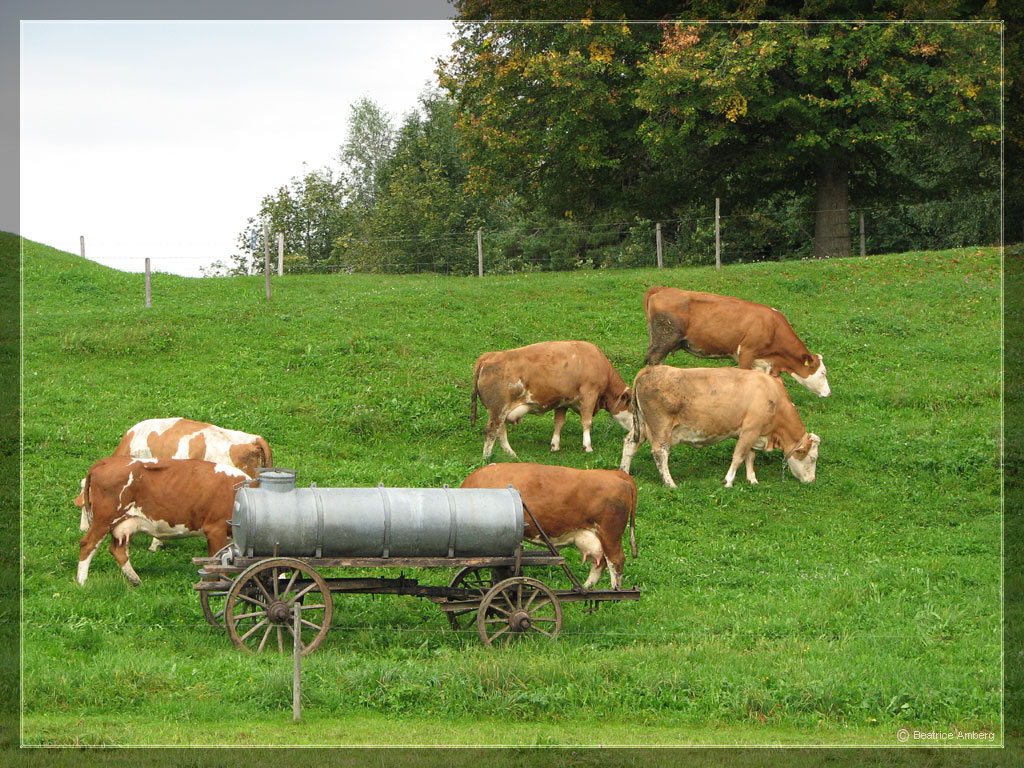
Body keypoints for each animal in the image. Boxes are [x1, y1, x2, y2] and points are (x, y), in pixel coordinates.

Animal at [75, 456, 254, 586]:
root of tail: (107, 461)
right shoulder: (216, 528)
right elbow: (219, 561)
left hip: (123, 524)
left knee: (118, 550)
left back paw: (136, 580)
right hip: (104, 520)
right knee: (88, 544)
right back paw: (82, 582)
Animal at [461, 462, 637, 590]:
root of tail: (615, 474)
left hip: (610, 533)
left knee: (616, 561)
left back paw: (614, 592)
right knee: (599, 563)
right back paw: (586, 588)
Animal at [470, 340, 633, 460]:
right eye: (634, 408)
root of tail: (490, 356)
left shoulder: (563, 401)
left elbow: (559, 422)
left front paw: (555, 445)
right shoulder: (589, 395)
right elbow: (586, 422)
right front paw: (588, 446)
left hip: (501, 411)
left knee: (500, 432)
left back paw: (511, 455)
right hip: (498, 408)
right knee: (491, 431)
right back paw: (487, 457)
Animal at [619, 365, 821, 489]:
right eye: (812, 458)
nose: (812, 480)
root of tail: (649, 369)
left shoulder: (750, 432)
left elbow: (750, 456)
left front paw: (752, 479)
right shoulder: (751, 430)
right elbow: (739, 456)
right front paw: (728, 481)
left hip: (643, 426)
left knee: (630, 443)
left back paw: (624, 472)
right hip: (660, 427)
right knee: (660, 453)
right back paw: (670, 483)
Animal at [642, 287, 831, 397]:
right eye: (822, 373)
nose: (828, 393)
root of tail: (661, 289)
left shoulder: (764, 363)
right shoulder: (747, 352)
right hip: (664, 339)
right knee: (654, 360)